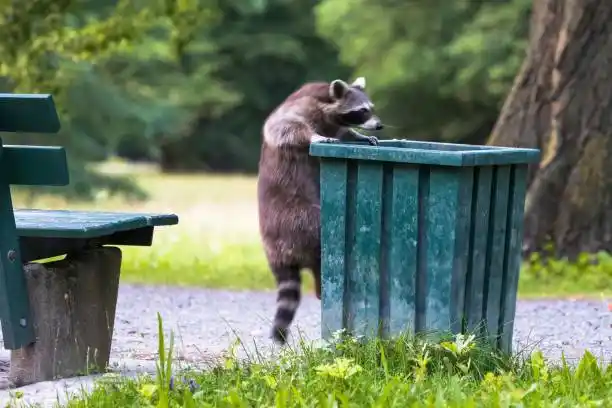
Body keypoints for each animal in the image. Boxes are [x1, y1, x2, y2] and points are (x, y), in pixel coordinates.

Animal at [255, 76, 380, 344]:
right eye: (362, 110)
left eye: (371, 108)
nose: (379, 125)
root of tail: (277, 253)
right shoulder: (298, 108)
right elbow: (283, 126)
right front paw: (314, 137)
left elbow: (344, 133)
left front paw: (358, 136)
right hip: (299, 220)